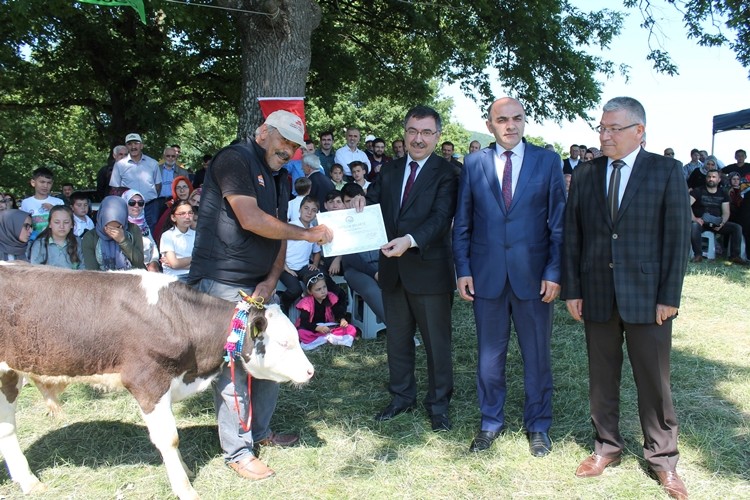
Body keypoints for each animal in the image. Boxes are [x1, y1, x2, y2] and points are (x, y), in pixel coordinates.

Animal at [0, 264, 314, 498]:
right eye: (284, 342)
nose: (310, 371)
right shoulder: (148, 382)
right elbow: (169, 438)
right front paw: (185, 488)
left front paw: (185, 470)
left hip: (9, 375)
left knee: (7, 430)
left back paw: (28, 482)